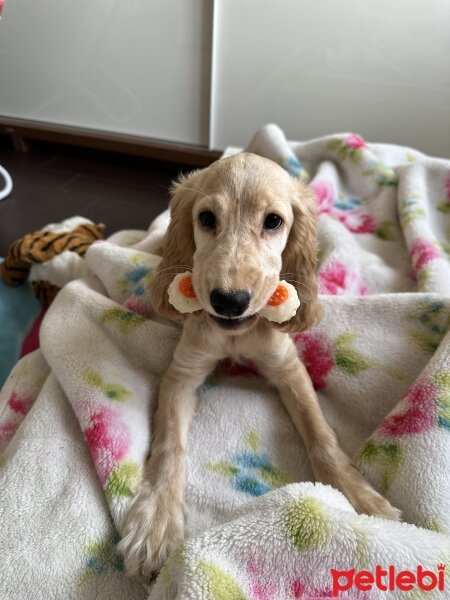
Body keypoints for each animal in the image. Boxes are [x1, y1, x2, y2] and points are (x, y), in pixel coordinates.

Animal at [118, 154, 400, 580]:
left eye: (273, 221)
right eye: (206, 218)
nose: (229, 301)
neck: (237, 334)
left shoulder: (288, 368)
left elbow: (321, 435)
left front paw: (358, 497)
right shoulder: (183, 373)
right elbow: (169, 446)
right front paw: (155, 522)